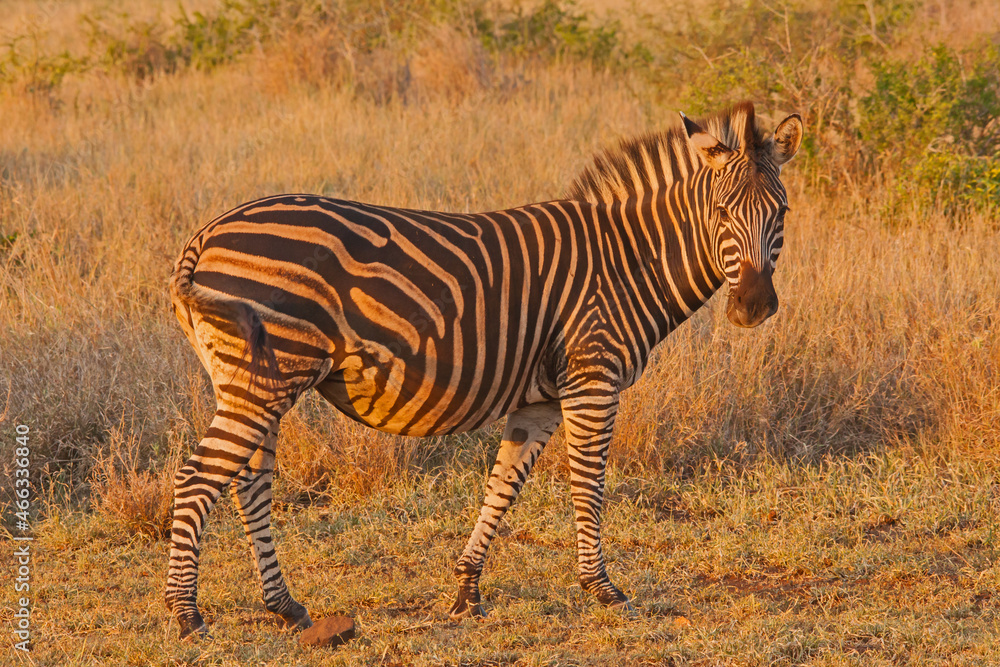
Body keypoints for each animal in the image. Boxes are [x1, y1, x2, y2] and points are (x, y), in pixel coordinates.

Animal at [165, 101, 802, 639]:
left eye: (782, 213)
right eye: (721, 213)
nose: (753, 307)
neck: (629, 260)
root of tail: (204, 235)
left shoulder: (540, 400)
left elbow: (502, 486)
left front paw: (466, 592)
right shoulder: (592, 376)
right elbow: (589, 482)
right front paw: (602, 589)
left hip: (253, 381)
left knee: (248, 481)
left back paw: (284, 606)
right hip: (263, 382)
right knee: (199, 476)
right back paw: (187, 615)